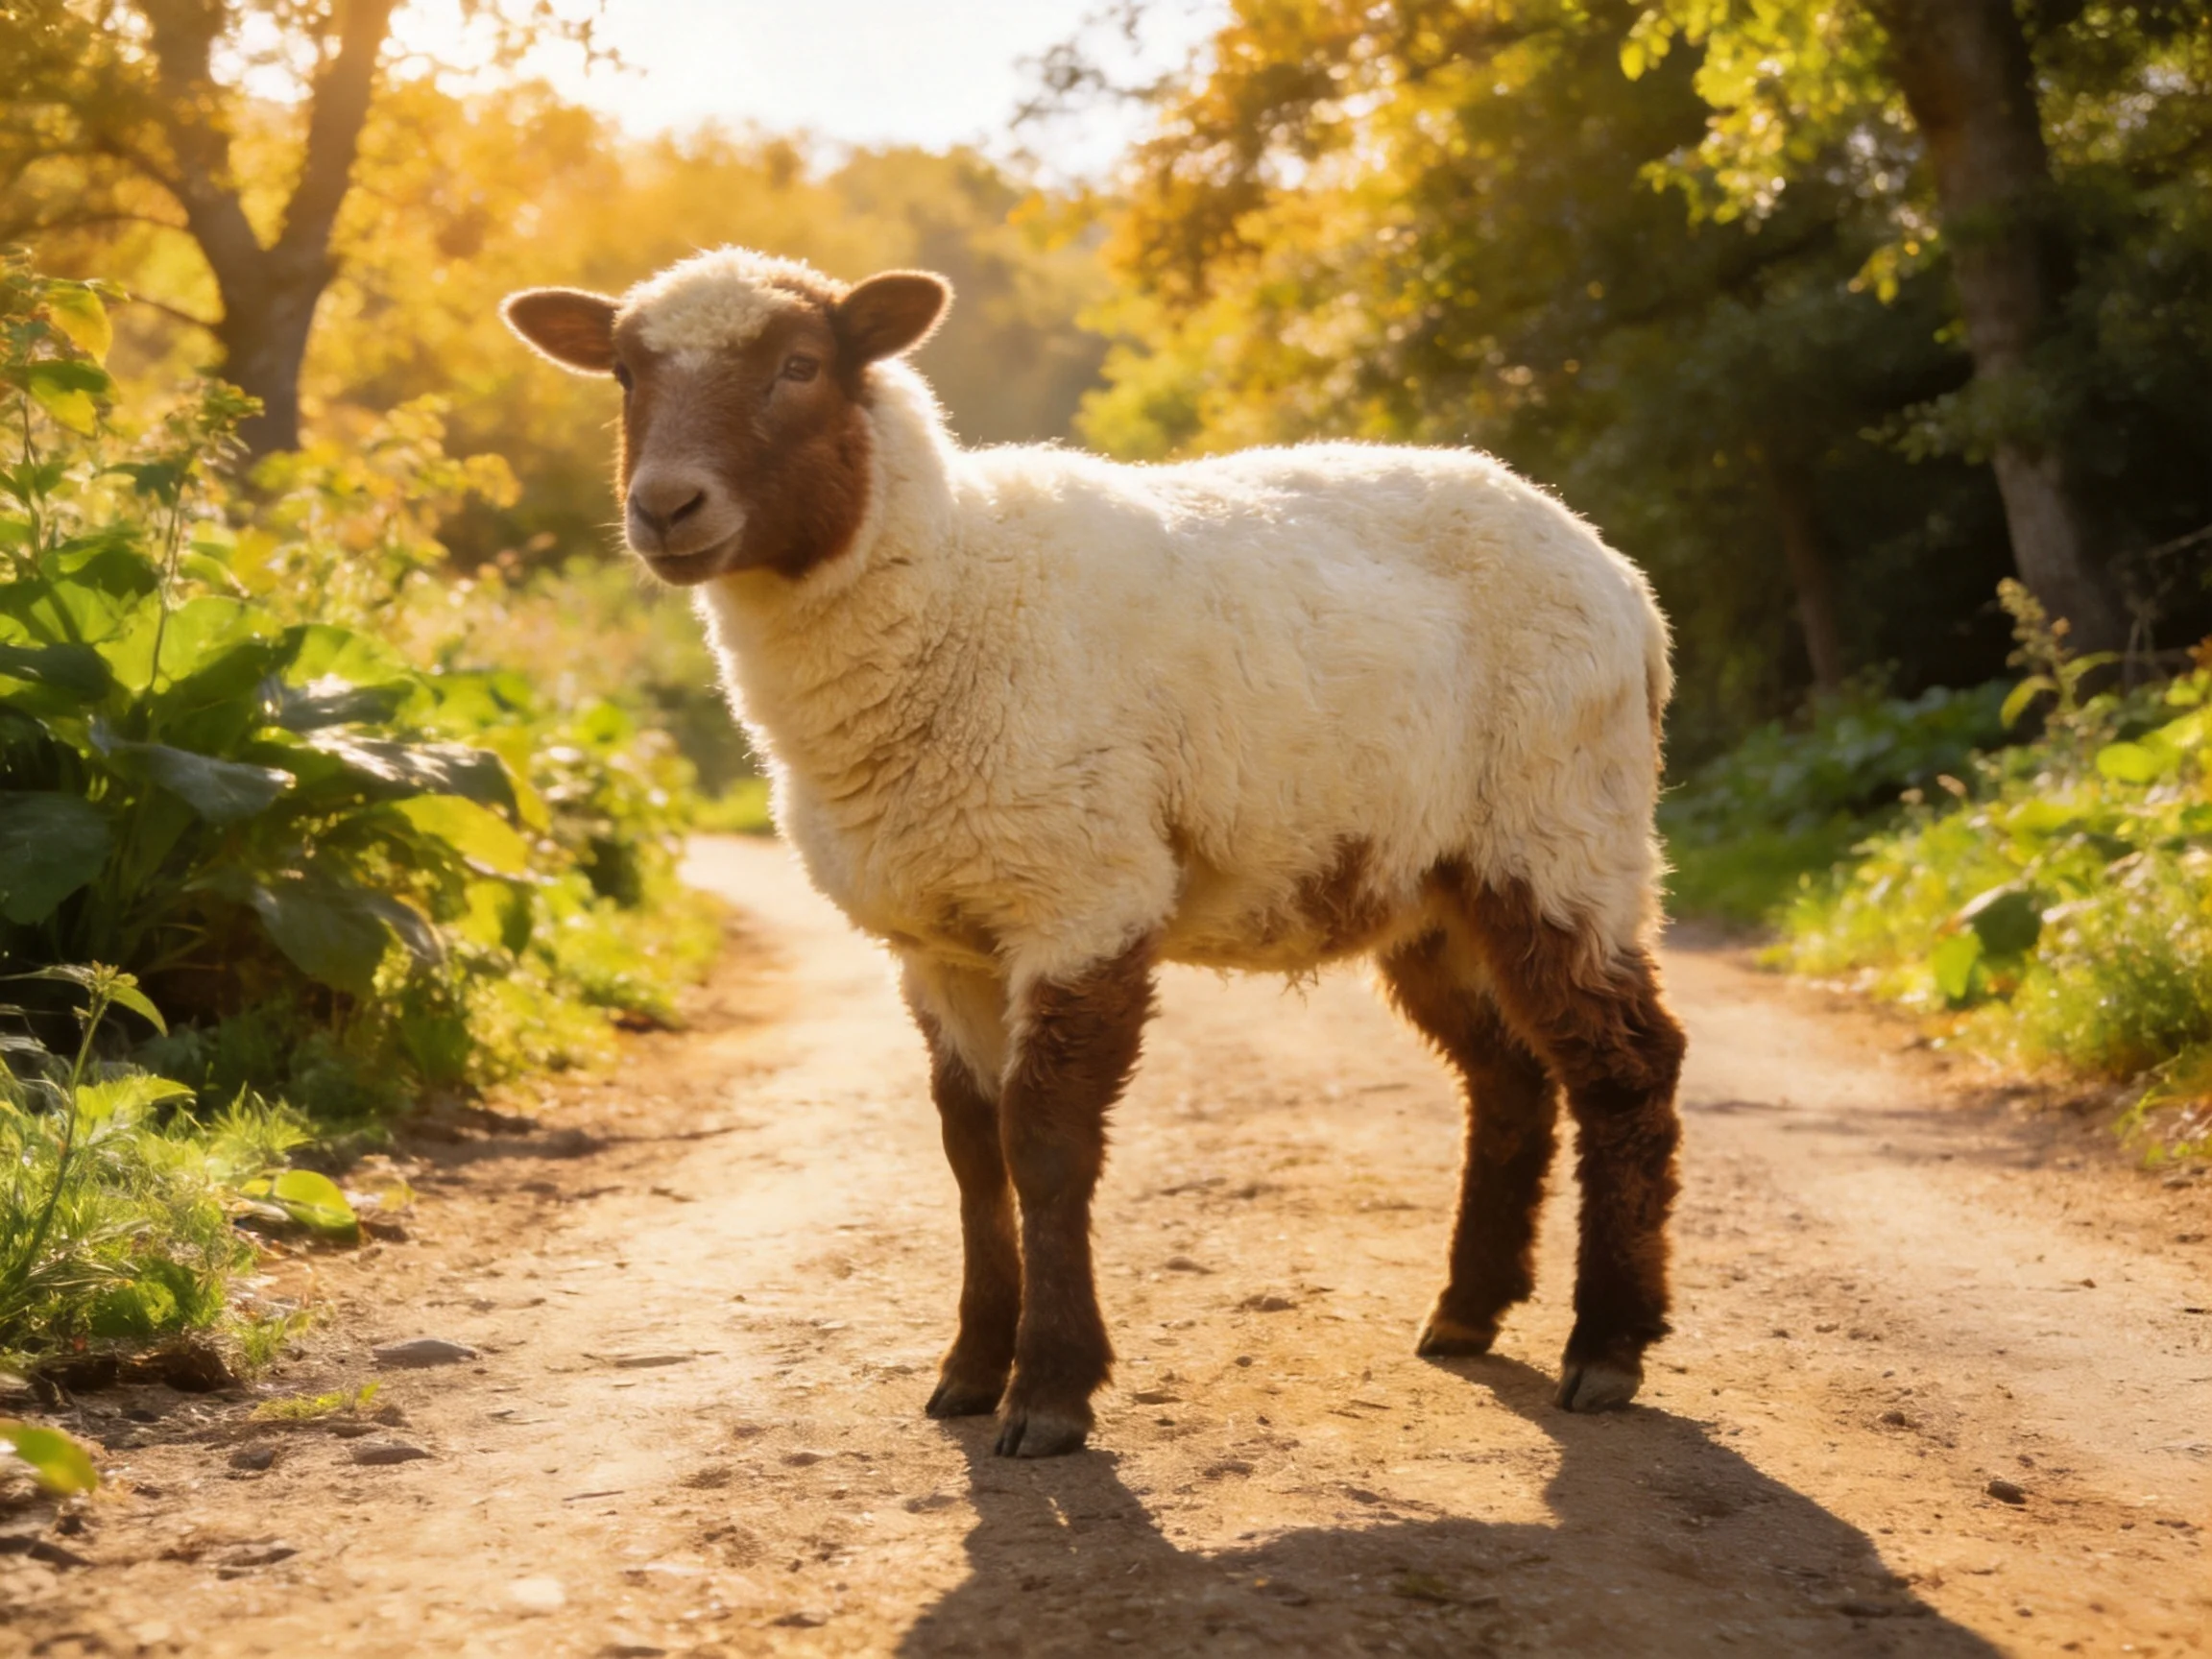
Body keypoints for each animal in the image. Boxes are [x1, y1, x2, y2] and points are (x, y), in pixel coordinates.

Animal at [504, 246, 1687, 1458]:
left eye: (799, 365)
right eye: (624, 375)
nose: (665, 507)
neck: (954, 589)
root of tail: (1623, 584)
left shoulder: (1082, 895)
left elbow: (1047, 1147)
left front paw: (1049, 1393)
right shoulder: (941, 941)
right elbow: (971, 1151)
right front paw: (970, 1370)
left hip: (1561, 827)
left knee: (1629, 1068)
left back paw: (1606, 1345)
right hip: (1432, 883)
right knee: (1508, 1078)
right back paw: (1466, 1312)